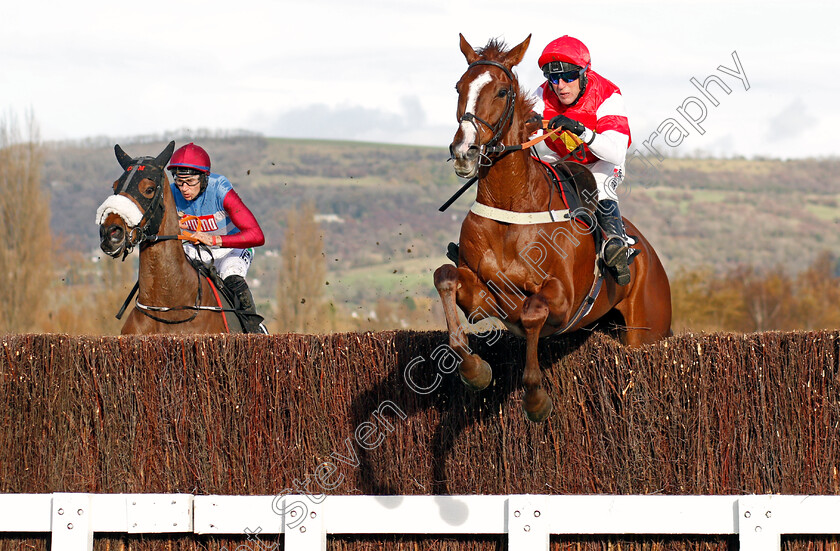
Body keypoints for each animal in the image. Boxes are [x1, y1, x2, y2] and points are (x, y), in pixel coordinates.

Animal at [436, 34, 672, 422]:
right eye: (459, 87)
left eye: (502, 91)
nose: (464, 151)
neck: (512, 207)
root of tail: (650, 256)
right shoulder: (483, 299)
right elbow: (445, 276)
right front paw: (475, 369)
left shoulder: (563, 298)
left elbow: (533, 312)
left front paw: (535, 398)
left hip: (647, 330)